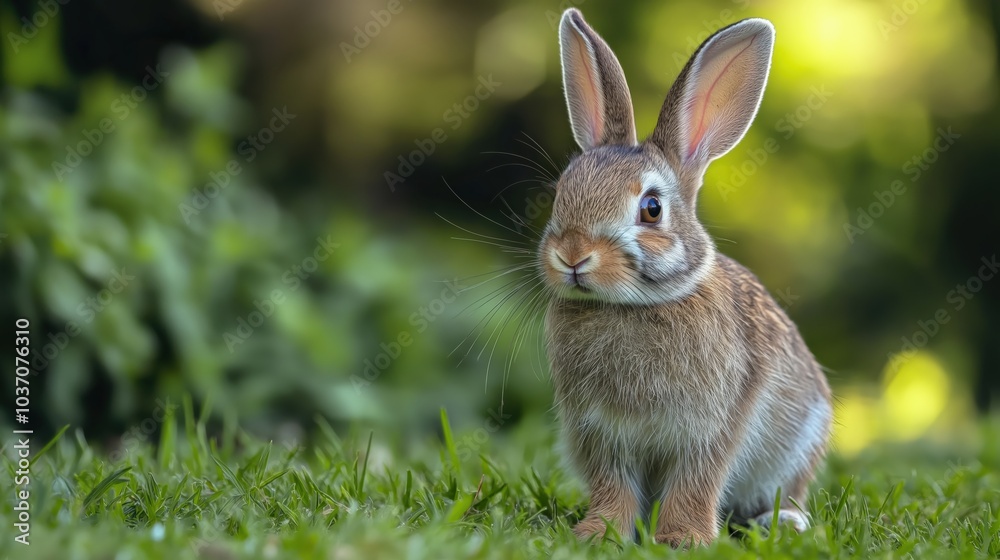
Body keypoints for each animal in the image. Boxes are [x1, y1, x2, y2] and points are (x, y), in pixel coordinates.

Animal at [539, 9, 833, 547]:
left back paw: (784, 521)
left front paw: (682, 539)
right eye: (560, 193)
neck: (633, 306)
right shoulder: (600, 433)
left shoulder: (713, 426)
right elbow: (614, 485)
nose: (572, 255)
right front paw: (597, 532)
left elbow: (697, 480)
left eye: (652, 209)